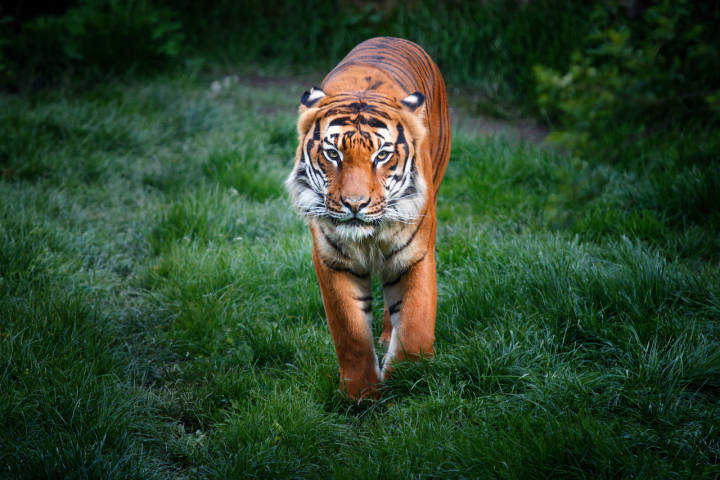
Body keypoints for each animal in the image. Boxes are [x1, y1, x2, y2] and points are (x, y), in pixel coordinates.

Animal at [286, 36, 450, 398]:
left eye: (382, 155)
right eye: (333, 154)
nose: (355, 204)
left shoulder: (416, 256)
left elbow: (415, 331)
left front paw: (405, 383)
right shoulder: (333, 261)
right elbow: (351, 333)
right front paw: (361, 395)